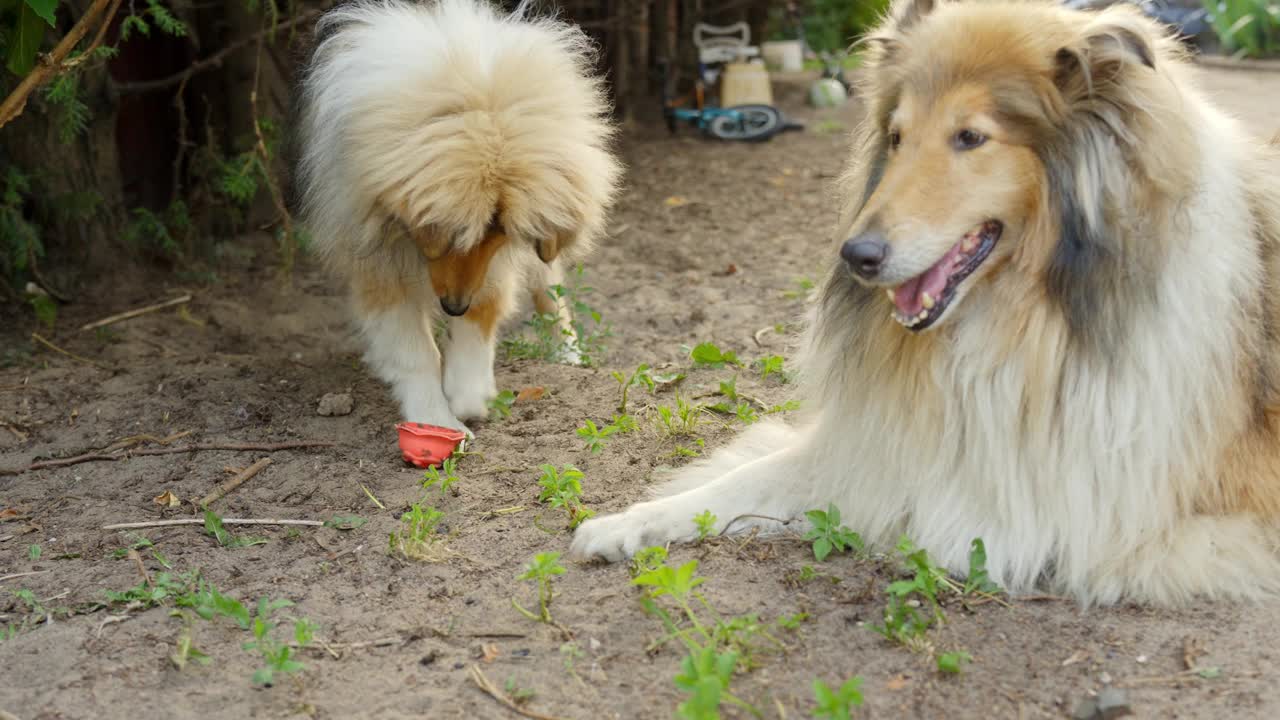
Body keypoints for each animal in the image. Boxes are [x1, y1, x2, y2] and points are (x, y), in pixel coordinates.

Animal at [296, 0, 622, 430]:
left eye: (499, 233)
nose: (453, 306)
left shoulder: (494, 266)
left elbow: (482, 315)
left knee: (550, 289)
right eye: (444, 234)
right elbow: (414, 352)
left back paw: (568, 352)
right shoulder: (375, 258)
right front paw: (435, 419)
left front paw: (468, 394)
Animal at [576, 0, 1280, 604]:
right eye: (895, 137)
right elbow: (740, 480)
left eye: (970, 137)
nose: (855, 257)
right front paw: (622, 523)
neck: (1022, 318)